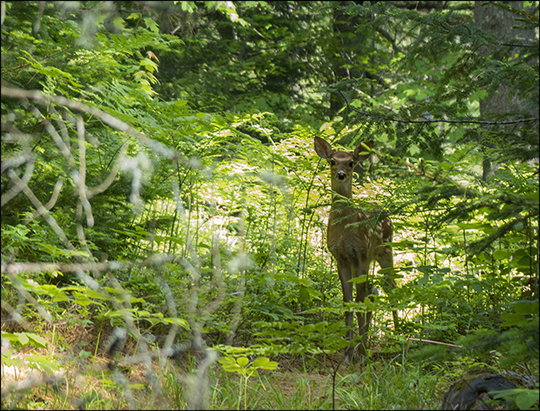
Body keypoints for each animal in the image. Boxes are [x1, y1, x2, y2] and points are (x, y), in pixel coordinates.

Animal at [314, 137, 398, 362]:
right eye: (332, 161)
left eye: (351, 162)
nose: (341, 174)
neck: (344, 229)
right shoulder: (341, 258)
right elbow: (348, 303)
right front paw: (347, 352)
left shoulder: (361, 254)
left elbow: (359, 302)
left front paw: (359, 354)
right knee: (374, 290)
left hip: (385, 251)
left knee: (391, 288)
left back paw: (398, 337)